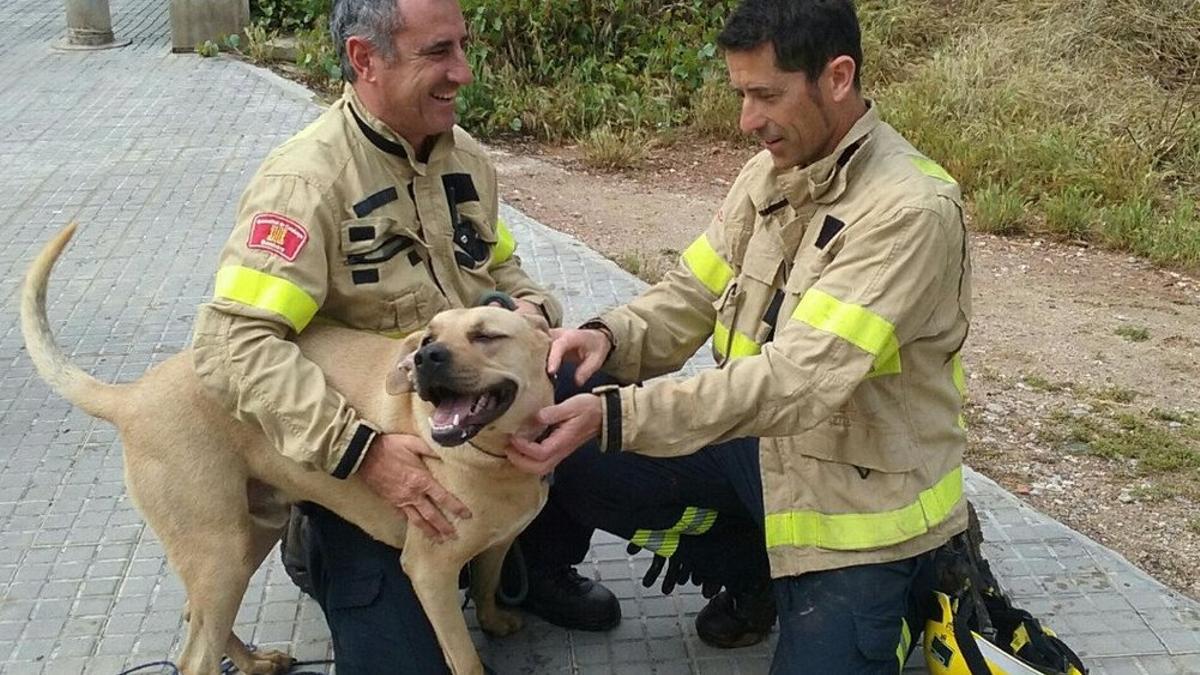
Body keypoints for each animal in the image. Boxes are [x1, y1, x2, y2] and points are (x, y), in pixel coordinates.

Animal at [19, 223, 552, 667]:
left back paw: (255, 662)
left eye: (487, 335)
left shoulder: (498, 542)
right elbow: (465, 659)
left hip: (247, 538)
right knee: (195, 656)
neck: (495, 460)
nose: (426, 357)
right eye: (427, 338)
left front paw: (494, 620)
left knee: (198, 617)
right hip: (220, 551)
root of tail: (132, 396)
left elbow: (487, 582)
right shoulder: (429, 573)